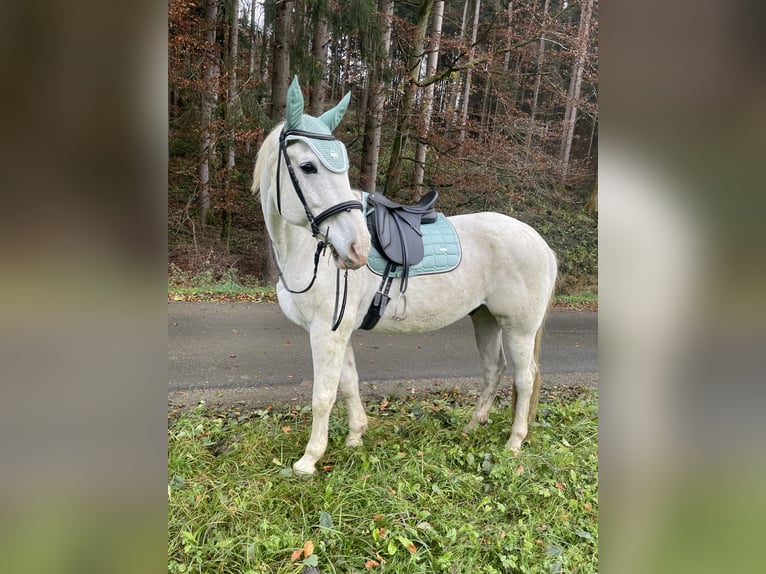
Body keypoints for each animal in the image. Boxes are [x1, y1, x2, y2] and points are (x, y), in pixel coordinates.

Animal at [252, 80, 560, 476]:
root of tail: (541, 244)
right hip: (485, 319)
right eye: (308, 166)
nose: (357, 249)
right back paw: (471, 426)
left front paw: (309, 460)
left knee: (524, 378)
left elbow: (324, 395)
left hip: (518, 328)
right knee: (494, 369)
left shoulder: (325, 332)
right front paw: (355, 437)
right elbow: (348, 384)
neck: (305, 251)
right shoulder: (339, 332)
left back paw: (514, 443)